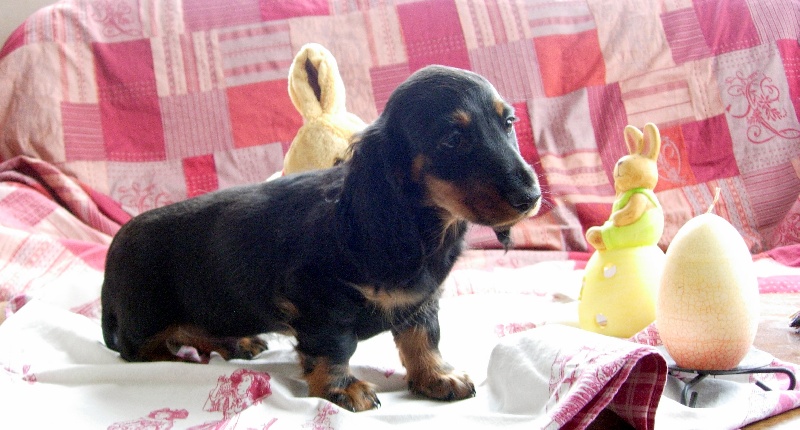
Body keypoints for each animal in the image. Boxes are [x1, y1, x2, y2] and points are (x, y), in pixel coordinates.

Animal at [101, 65, 541, 412]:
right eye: (452, 138)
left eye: (508, 123)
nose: (532, 197)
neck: (420, 229)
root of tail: (112, 255)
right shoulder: (319, 299)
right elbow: (334, 346)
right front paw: (343, 388)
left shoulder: (421, 300)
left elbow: (423, 338)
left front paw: (436, 376)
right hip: (147, 316)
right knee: (138, 349)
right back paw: (183, 360)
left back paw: (235, 342)